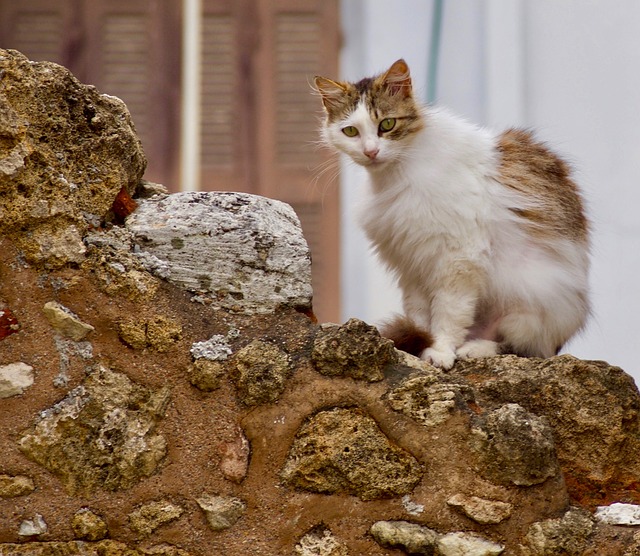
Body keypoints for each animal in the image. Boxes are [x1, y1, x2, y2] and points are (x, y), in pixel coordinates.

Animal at [316, 58, 592, 370]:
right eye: (350, 131)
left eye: (387, 124)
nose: (371, 151)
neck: (394, 177)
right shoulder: (413, 264)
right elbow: (420, 316)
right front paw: (420, 346)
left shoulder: (459, 259)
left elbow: (448, 313)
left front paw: (440, 350)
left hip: (531, 304)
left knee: (522, 347)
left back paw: (475, 348)